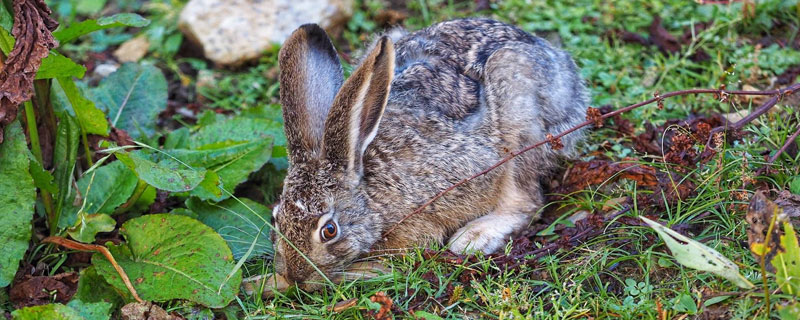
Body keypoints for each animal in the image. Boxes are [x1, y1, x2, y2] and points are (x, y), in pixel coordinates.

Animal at [268, 17, 588, 288]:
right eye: (275, 218)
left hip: (519, 117)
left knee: (527, 199)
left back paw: (475, 237)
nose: (295, 277)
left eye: (329, 230)